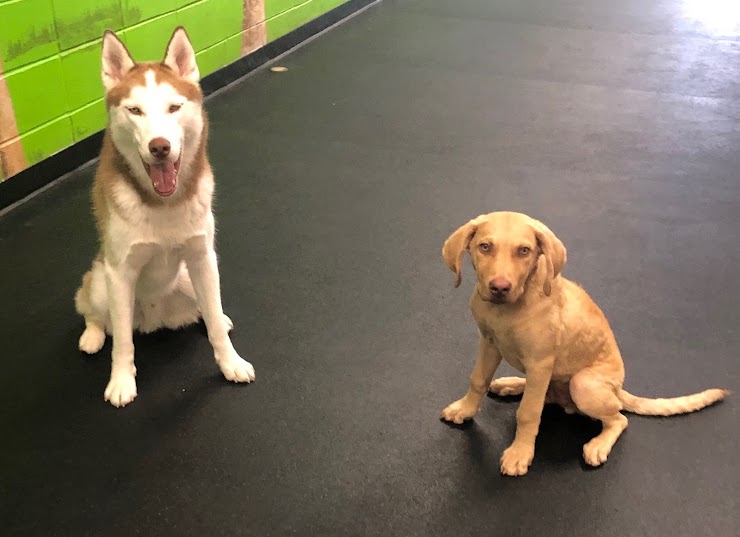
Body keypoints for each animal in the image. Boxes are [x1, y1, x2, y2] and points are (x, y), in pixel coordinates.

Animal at [440, 211, 728, 476]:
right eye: (484, 247)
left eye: (524, 251)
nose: (500, 288)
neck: (508, 309)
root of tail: (617, 390)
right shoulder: (489, 343)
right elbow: (478, 380)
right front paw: (465, 409)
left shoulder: (540, 363)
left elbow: (528, 412)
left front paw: (520, 453)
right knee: (543, 394)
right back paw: (511, 383)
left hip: (583, 383)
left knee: (618, 418)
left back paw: (598, 444)